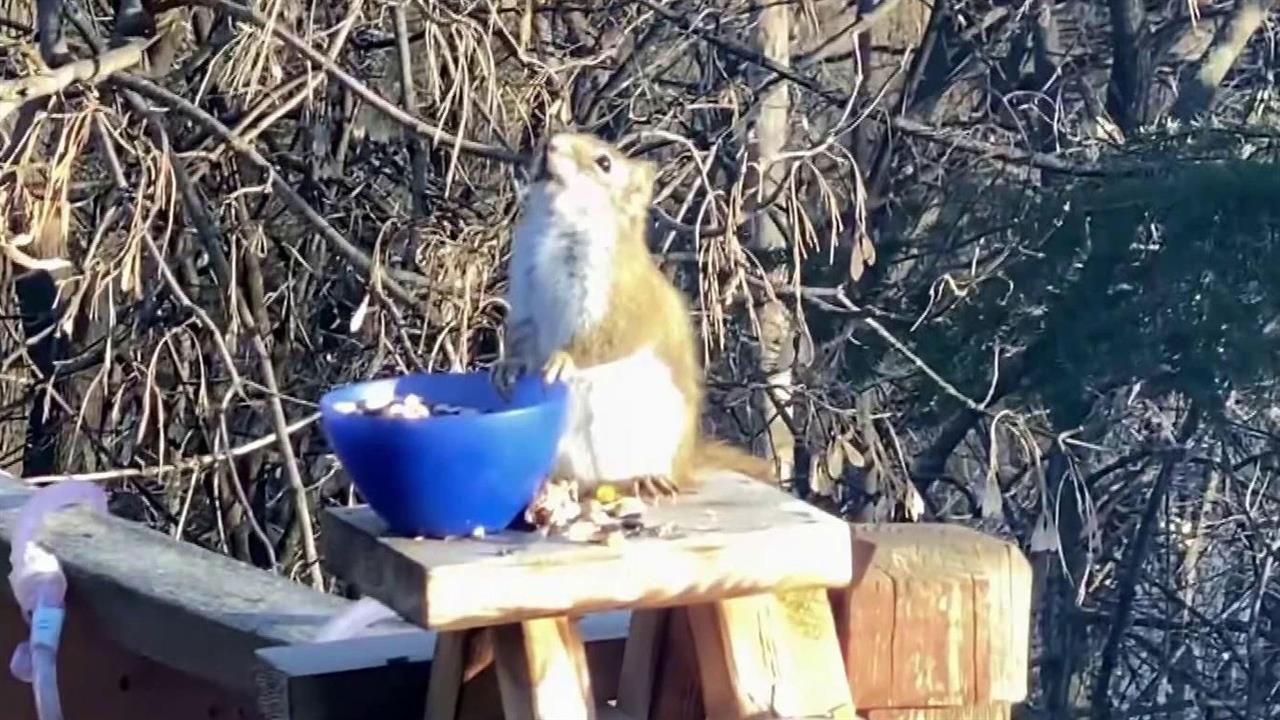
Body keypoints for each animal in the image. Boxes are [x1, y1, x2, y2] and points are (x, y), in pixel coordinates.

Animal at [491, 130, 773, 499]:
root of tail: (686, 464)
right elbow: (523, 332)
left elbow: (607, 337)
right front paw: (508, 366)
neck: (555, 228)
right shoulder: (525, 287)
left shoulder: (621, 298)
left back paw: (642, 480)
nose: (548, 146)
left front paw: (564, 359)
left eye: (604, 163)